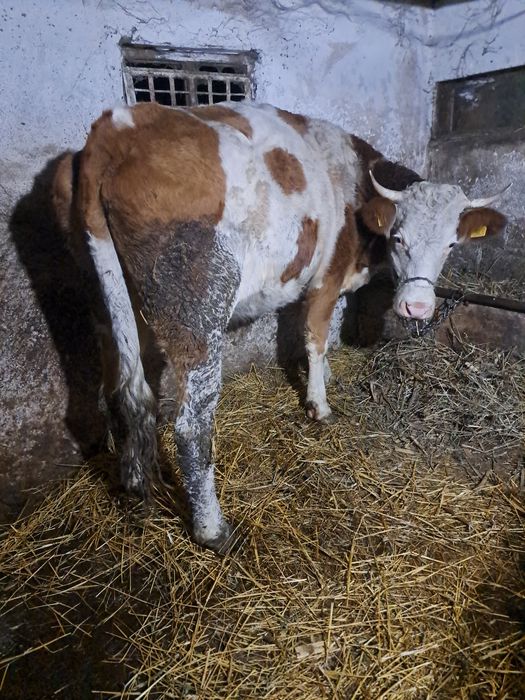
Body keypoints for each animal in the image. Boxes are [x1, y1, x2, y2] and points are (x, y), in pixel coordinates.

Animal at [52, 101, 507, 552]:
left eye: (451, 244)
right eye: (399, 238)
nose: (417, 307)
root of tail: (116, 127)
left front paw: (325, 378)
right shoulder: (326, 276)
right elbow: (316, 335)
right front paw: (319, 404)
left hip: (106, 303)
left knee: (122, 394)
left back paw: (132, 485)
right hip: (198, 307)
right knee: (191, 425)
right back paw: (213, 529)